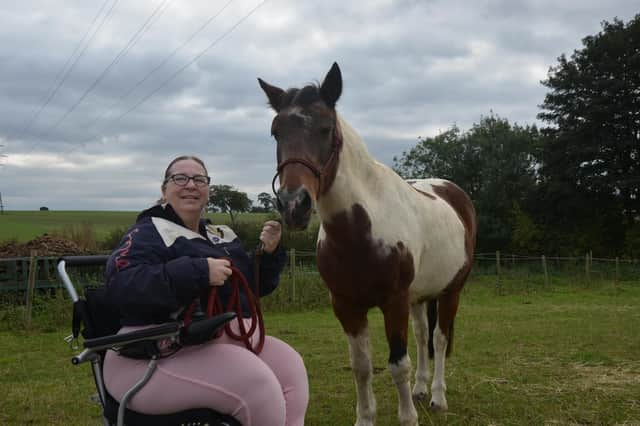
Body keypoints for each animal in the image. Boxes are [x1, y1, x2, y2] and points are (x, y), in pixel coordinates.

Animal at [258, 63, 476, 426]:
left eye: (326, 128)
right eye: (276, 131)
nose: (294, 205)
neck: (361, 232)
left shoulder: (394, 301)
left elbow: (398, 365)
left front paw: (408, 418)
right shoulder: (347, 306)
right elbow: (361, 367)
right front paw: (366, 417)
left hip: (450, 291)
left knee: (440, 338)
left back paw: (437, 397)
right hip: (420, 296)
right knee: (422, 335)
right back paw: (421, 389)